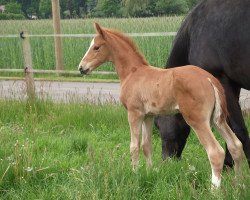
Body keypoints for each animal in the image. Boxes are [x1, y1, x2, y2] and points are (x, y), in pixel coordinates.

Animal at [78, 23, 244, 188]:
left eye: (96, 47)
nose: (81, 68)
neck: (133, 73)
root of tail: (210, 79)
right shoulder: (148, 116)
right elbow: (146, 146)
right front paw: (149, 173)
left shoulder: (134, 113)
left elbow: (134, 146)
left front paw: (135, 175)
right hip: (217, 120)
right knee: (235, 145)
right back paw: (238, 184)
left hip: (198, 120)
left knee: (215, 152)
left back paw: (214, 189)